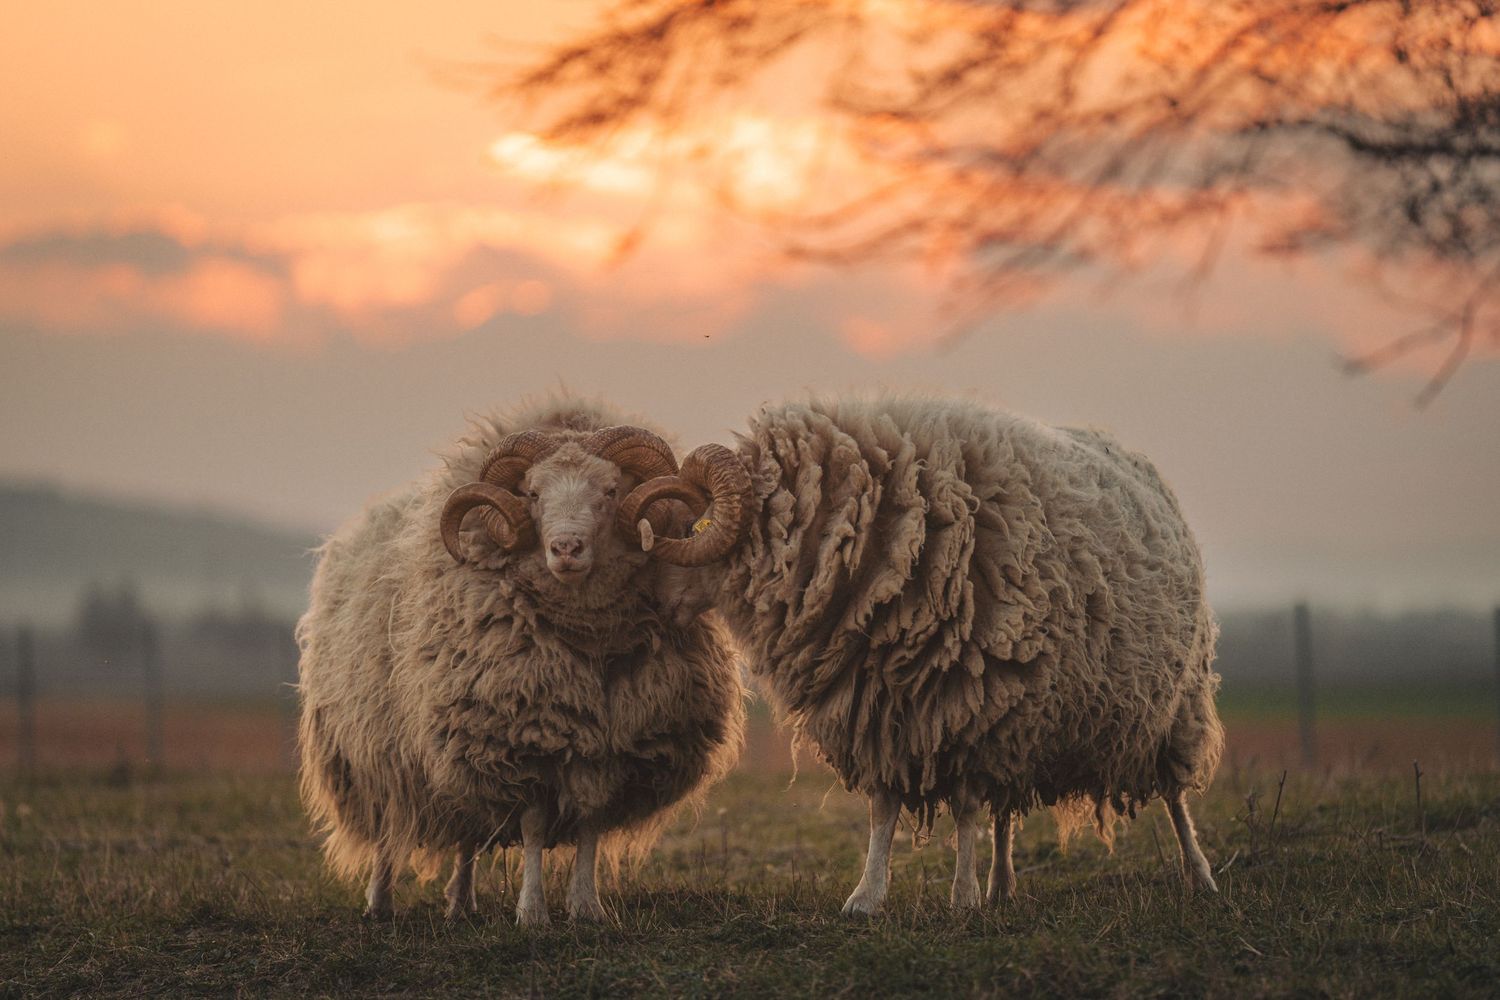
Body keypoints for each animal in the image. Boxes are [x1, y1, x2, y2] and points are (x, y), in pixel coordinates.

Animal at [295, 396, 748, 926]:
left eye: (612, 489)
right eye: (532, 493)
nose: (566, 548)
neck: (589, 635)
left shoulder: (609, 745)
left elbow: (590, 823)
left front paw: (586, 906)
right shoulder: (522, 737)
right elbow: (532, 827)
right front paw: (532, 912)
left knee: (469, 834)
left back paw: (461, 903)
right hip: (380, 751)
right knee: (390, 828)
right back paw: (379, 901)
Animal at [630, 394, 1224, 913]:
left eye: (688, 526)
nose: (648, 602)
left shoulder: (970, 703)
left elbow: (963, 806)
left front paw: (960, 896)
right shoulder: (880, 708)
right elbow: (883, 810)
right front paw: (867, 897)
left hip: (1173, 705)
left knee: (1175, 796)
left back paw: (1199, 874)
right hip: (1024, 718)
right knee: (1004, 811)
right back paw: (1001, 884)